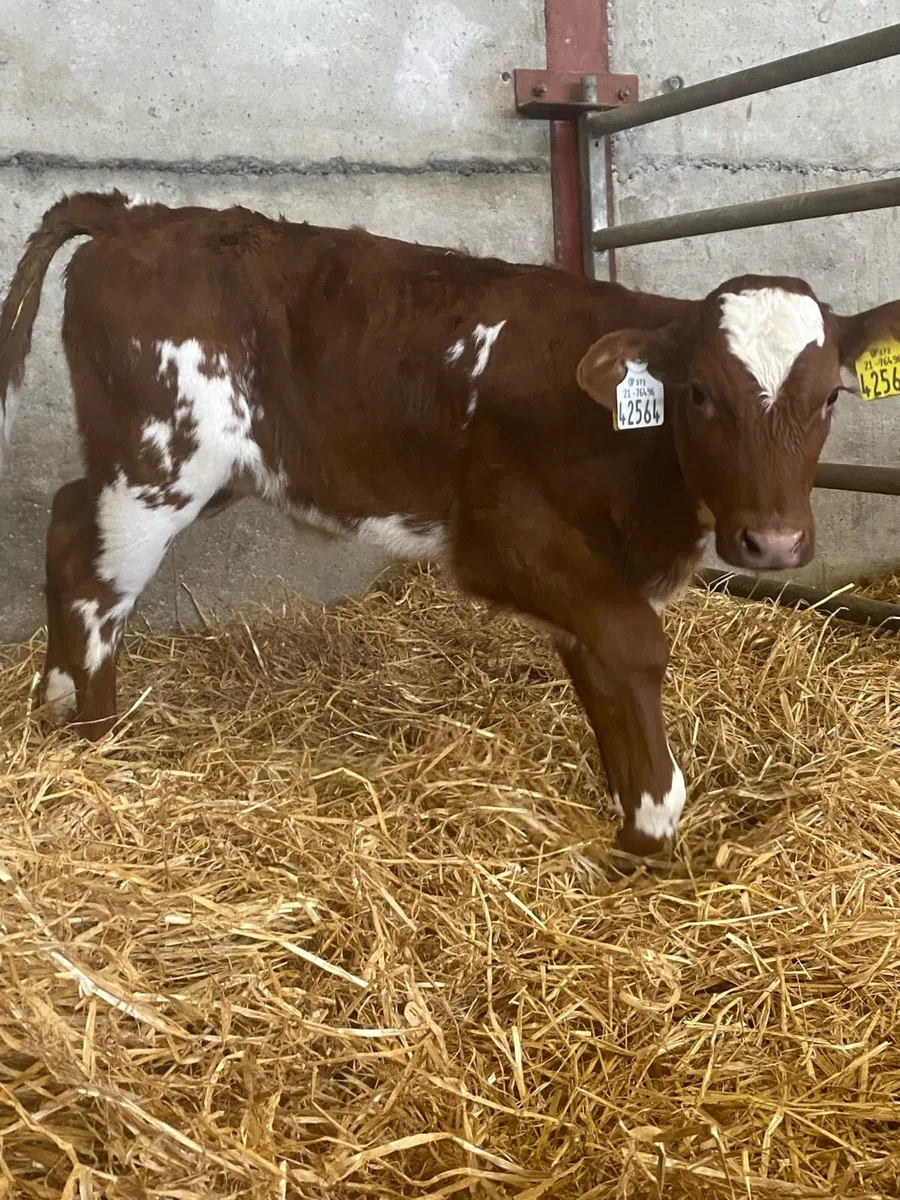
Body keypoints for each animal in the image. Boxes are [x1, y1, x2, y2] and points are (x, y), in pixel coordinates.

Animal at [1, 191, 897, 859]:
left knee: (67, 521)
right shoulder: (499, 529)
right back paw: (101, 739)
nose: (773, 543)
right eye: (700, 393)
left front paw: (634, 816)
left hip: (189, 467)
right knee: (97, 579)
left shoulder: (594, 560)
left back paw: (56, 705)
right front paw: (653, 820)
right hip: (163, 460)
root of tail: (134, 213)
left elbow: (602, 660)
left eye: (831, 396)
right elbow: (634, 641)